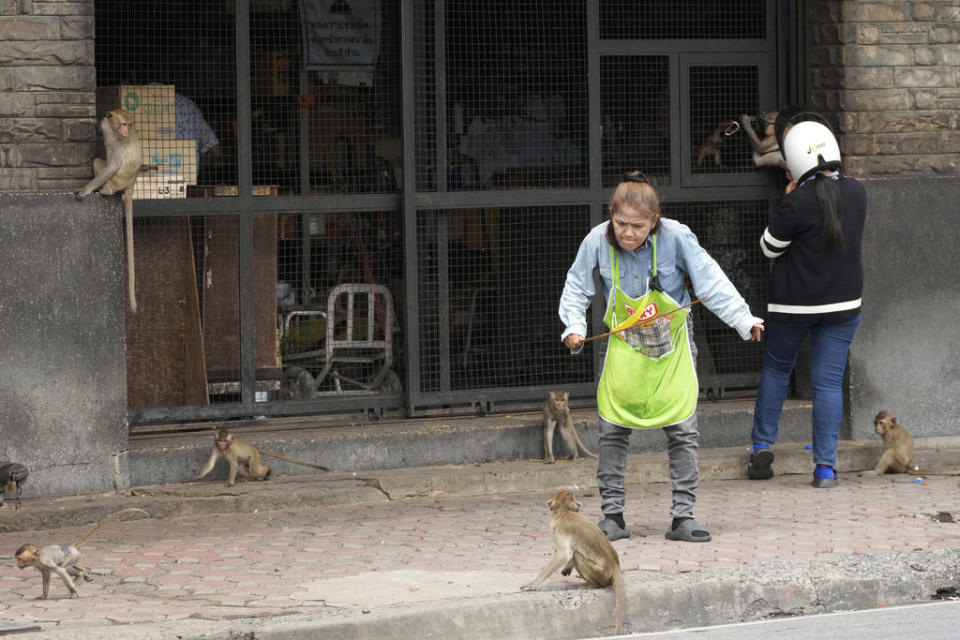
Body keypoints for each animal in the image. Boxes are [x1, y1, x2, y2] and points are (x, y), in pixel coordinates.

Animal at [15, 508, 148, 596]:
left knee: (65, 567)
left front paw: (73, 590)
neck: (36, 558)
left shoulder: (44, 561)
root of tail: (71, 546)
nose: (17, 564)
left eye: (19, 559)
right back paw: (83, 571)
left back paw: (80, 575)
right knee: (72, 566)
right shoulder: (41, 566)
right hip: (75, 557)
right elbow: (46, 576)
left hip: (72, 555)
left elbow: (60, 571)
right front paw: (43, 595)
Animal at [520, 490, 628, 636]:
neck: (565, 511)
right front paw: (568, 567)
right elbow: (567, 555)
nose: (579, 503)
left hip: (599, 573)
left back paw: (591, 584)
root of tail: (615, 564)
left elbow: (562, 555)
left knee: (577, 555)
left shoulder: (558, 527)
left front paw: (531, 585)